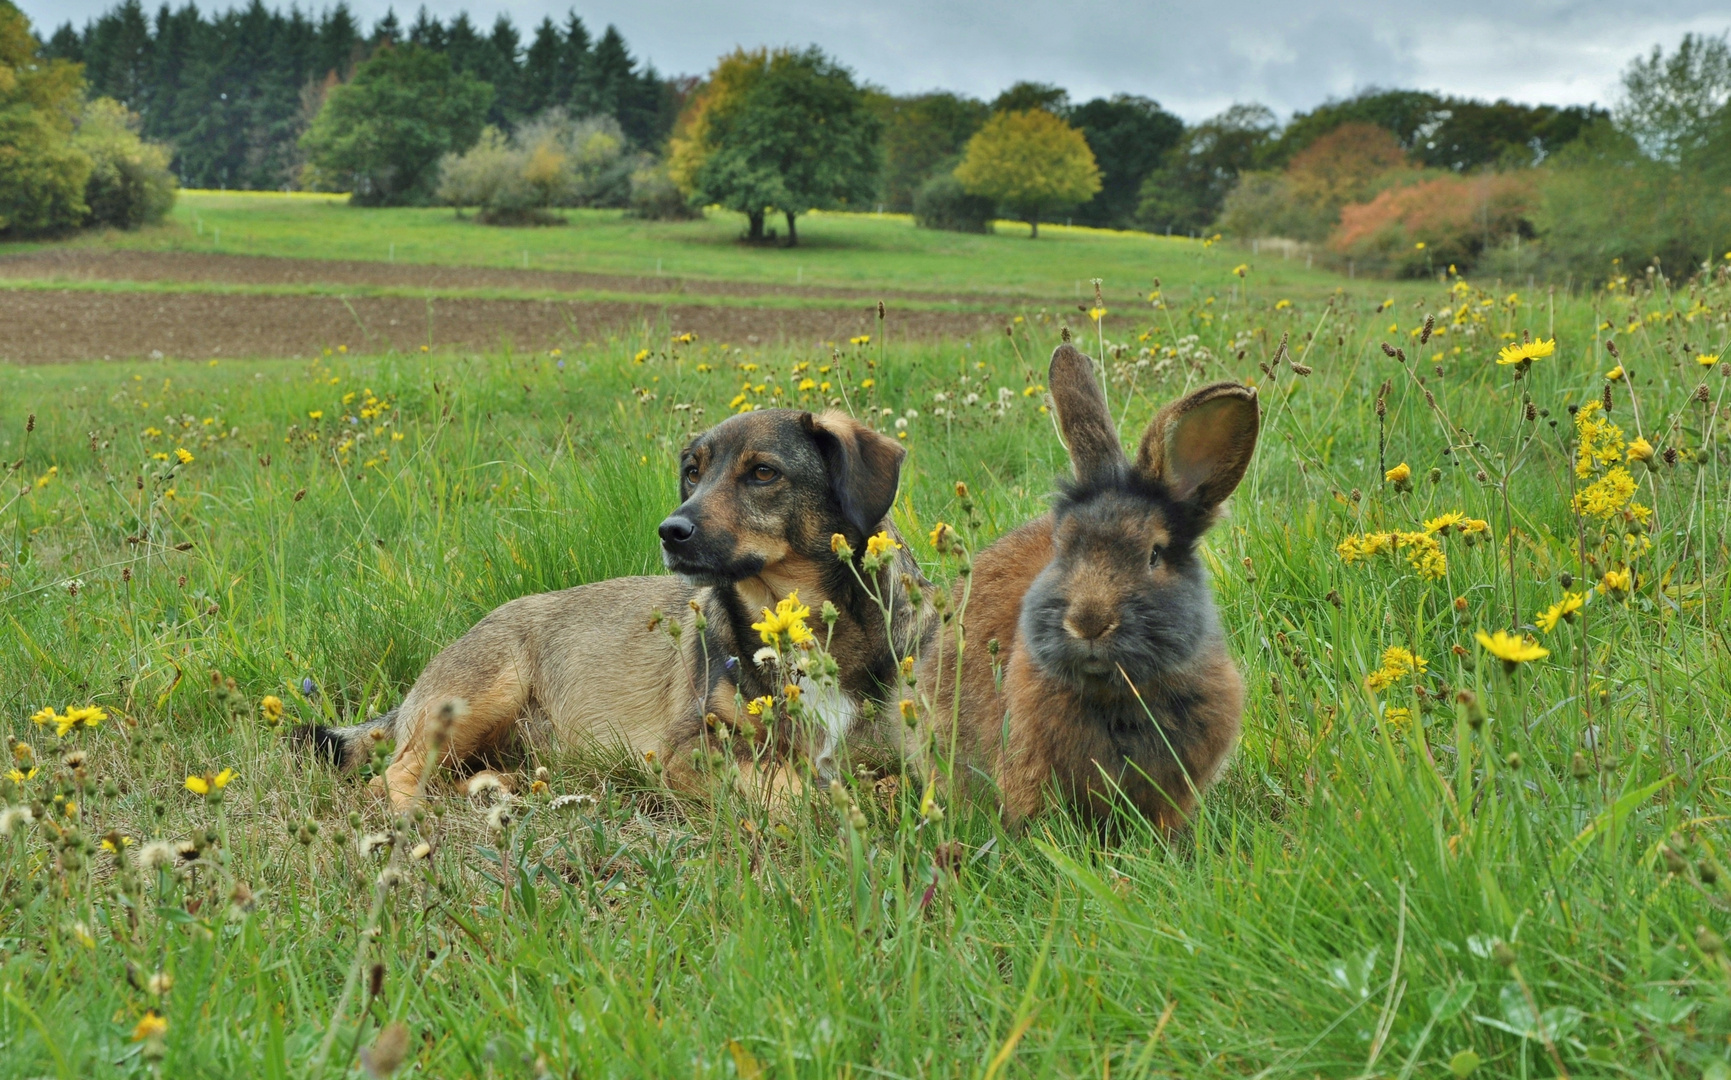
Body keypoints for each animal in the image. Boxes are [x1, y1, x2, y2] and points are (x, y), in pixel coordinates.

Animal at [304, 408, 941, 806]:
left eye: (763, 472)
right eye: (693, 472)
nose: (671, 531)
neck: (795, 624)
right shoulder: (690, 747)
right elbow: (779, 783)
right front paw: (820, 805)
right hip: (481, 693)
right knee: (393, 773)